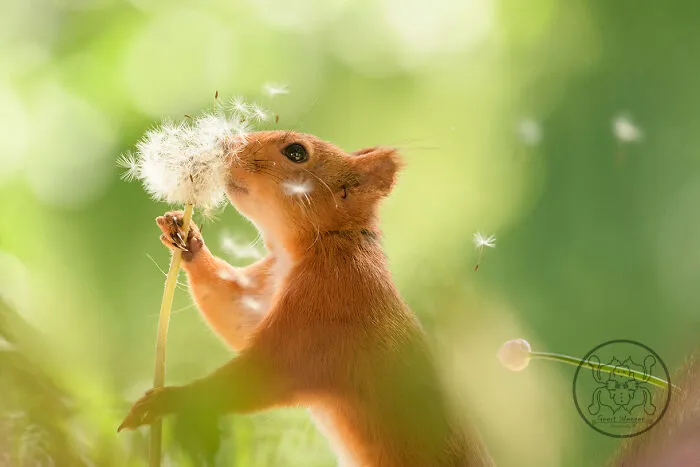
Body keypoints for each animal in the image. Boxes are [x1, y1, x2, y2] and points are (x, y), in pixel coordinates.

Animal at [118, 130, 700, 466]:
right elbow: (234, 310)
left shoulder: (325, 316)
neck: (321, 247)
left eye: (296, 152)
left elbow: (260, 375)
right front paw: (187, 239)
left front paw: (168, 401)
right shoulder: (266, 287)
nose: (225, 149)